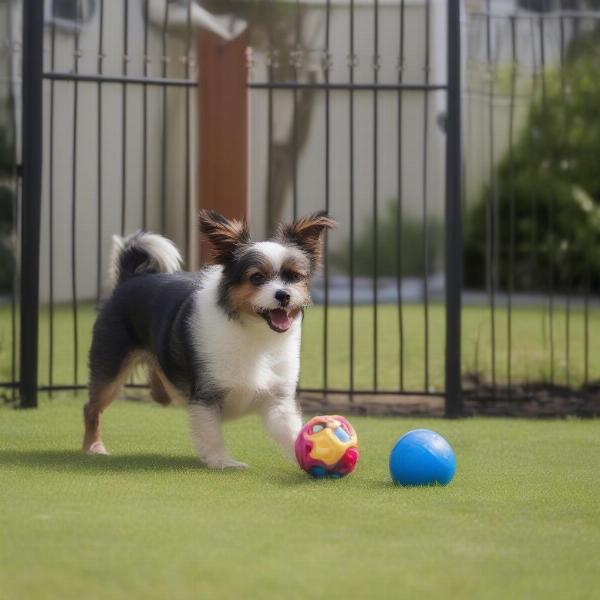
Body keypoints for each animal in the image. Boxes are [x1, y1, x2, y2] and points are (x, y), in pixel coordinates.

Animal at [82, 211, 336, 468]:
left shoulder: (278, 400)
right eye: (257, 278)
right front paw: (223, 462)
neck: (254, 332)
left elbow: (291, 432)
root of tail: (130, 277)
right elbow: (212, 433)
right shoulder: (206, 396)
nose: (283, 295)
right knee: (91, 407)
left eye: (294, 277)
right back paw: (93, 447)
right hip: (110, 367)